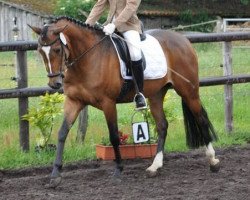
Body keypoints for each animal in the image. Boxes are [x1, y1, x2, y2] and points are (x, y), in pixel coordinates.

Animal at [29, 16, 221, 188]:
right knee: (162, 126)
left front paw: (118, 171)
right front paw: (55, 176)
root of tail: (183, 39)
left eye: (57, 50)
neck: (87, 58)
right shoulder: (74, 101)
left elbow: (114, 136)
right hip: (156, 95)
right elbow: (62, 133)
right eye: (40, 51)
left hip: (188, 91)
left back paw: (213, 161)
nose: (54, 84)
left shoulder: (108, 103)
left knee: (201, 119)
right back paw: (154, 167)